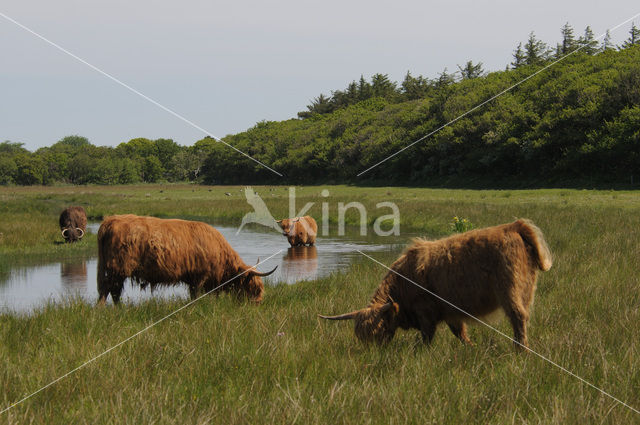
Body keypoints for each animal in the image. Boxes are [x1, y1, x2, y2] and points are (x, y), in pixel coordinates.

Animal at [96, 215, 276, 304]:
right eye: (254, 288)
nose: (258, 303)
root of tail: (110, 220)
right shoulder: (200, 276)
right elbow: (195, 295)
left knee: (114, 290)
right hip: (117, 268)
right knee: (109, 289)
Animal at [322, 220, 552, 350]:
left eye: (378, 330)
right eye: (359, 336)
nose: (370, 355)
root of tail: (513, 227)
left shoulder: (425, 312)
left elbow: (427, 336)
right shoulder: (451, 313)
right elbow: (460, 333)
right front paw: (471, 347)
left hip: (509, 288)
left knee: (518, 317)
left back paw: (520, 350)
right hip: (527, 289)